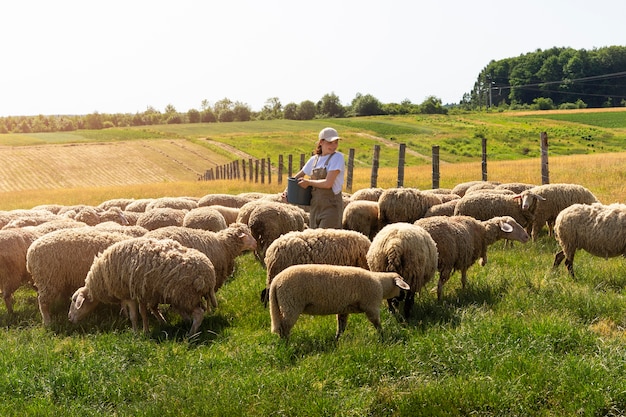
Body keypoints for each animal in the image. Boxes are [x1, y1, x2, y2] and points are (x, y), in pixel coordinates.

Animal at [68, 237, 218, 334]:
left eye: (75, 301)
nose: (69, 318)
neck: (100, 279)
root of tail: (209, 274)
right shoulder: (142, 293)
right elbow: (144, 313)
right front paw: (146, 330)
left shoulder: (129, 294)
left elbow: (134, 315)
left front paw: (136, 333)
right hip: (187, 296)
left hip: (186, 295)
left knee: (199, 314)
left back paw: (191, 334)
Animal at [270, 264, 410, 340]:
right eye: (401, 287)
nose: (403, 298)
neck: (381, 284)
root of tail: (276, 282)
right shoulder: (371, 306)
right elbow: (377, 323)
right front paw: (383, 336)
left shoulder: (344, 310)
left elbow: (341, 327)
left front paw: (336, 340)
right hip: (291, 304)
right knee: (284, 327)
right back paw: (287, 345)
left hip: (284, 304)